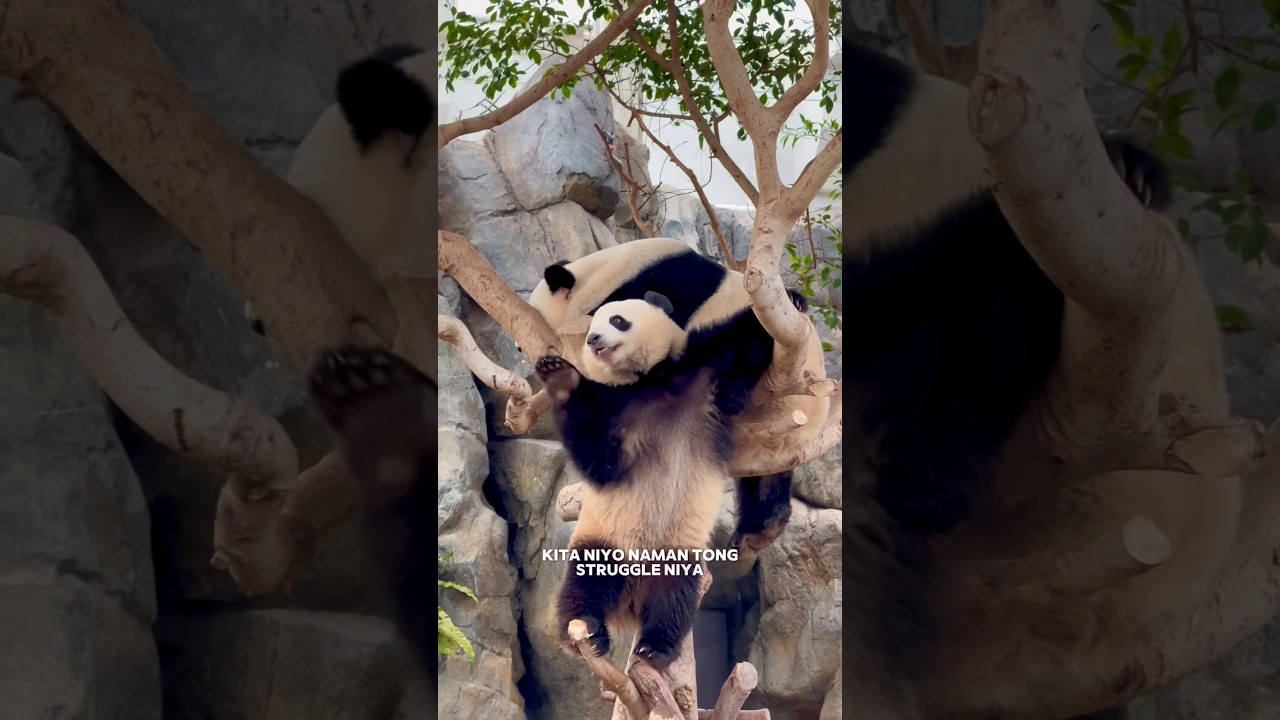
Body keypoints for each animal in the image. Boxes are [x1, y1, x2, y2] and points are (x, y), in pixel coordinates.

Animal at [534, 289, 782, 668]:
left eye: (617, 320)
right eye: (590, 327)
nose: (593, 340)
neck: (646, 379)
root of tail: (630, 607)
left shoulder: (698, 369)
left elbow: (744, 340)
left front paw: (793, 300)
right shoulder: (615, 408)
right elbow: (601, 463)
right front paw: (561, 380)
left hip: (677, 552)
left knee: (675, 597)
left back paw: (656, 646)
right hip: (606, 541)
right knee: (586, 581)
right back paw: (590, 632)